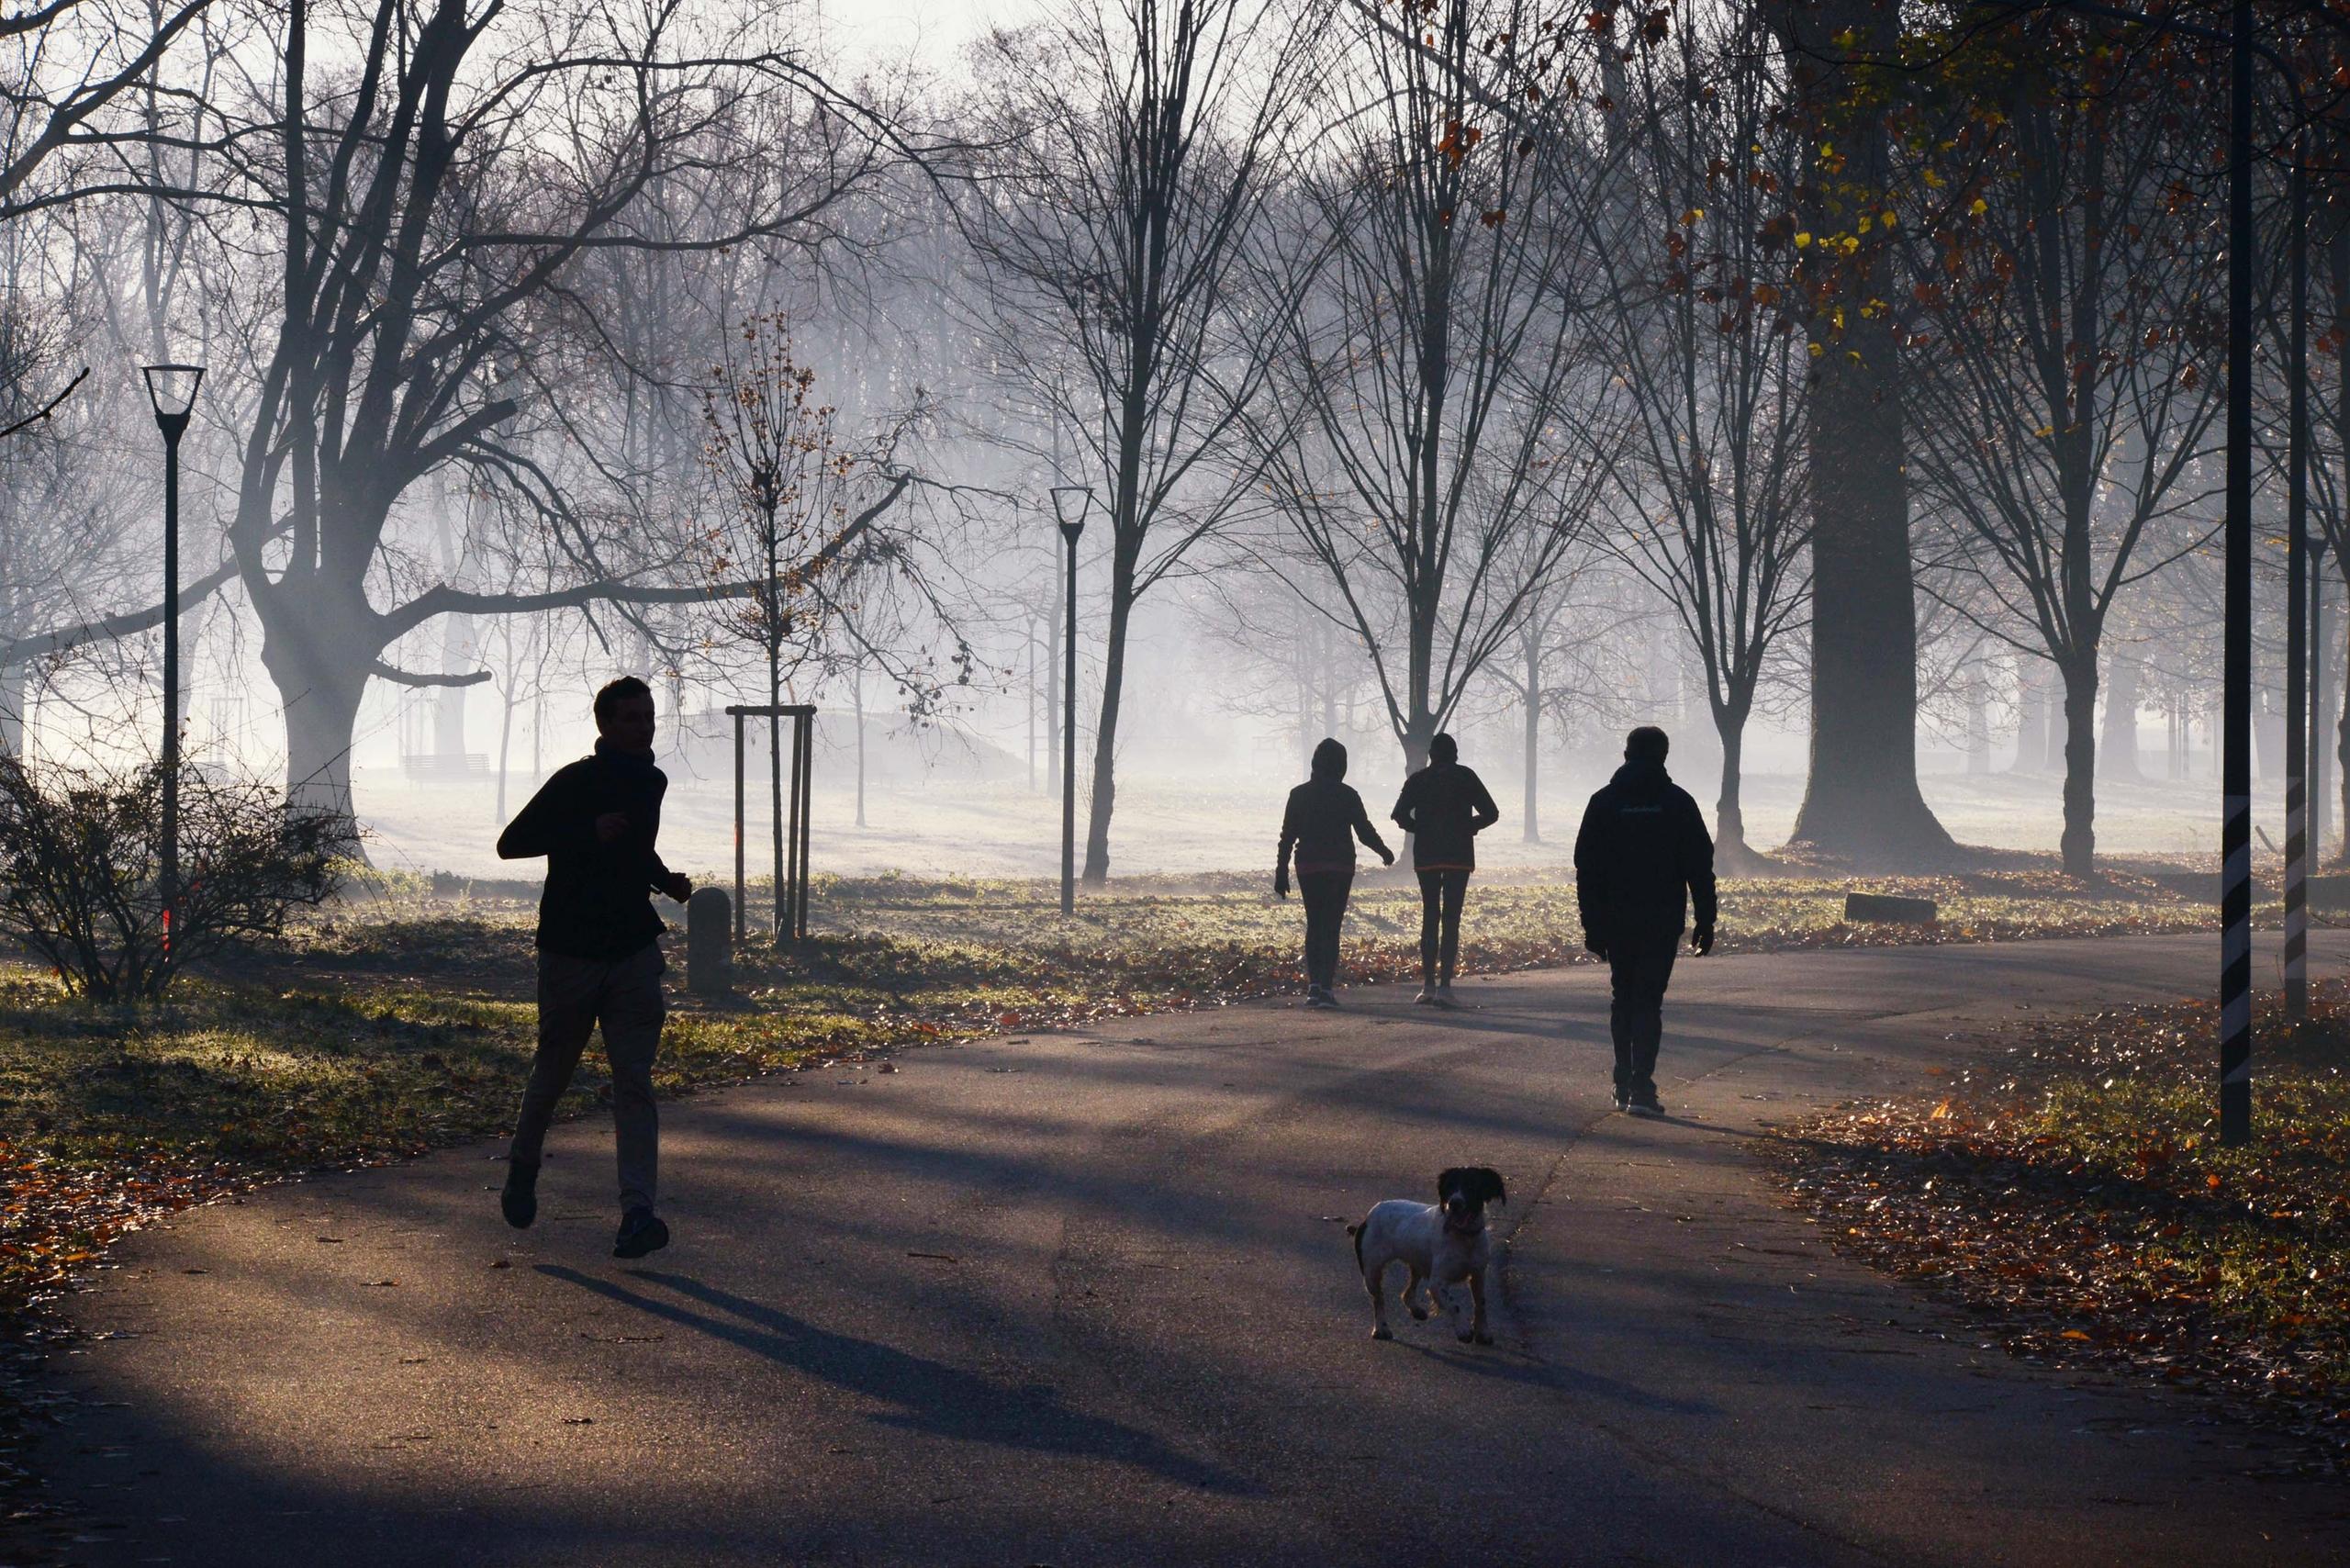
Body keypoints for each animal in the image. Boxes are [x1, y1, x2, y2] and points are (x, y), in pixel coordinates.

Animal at [1344, 1170, 1504, 1344]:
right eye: (1449, 1186)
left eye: (1471, 1186)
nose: (1454, 1203)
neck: (1465, 1238)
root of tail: (1368, 1216)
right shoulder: (1437, 1282)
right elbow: (1454, 1305)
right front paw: (1464, 1329)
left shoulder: (1478, 1274)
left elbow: (1481, 1303)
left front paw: (1483, 1332)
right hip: (1372, 1272)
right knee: (1379, 1299)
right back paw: (1381, 1329)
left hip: (1417, 1264)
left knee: (1407, 1293)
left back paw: (1416, 1310)